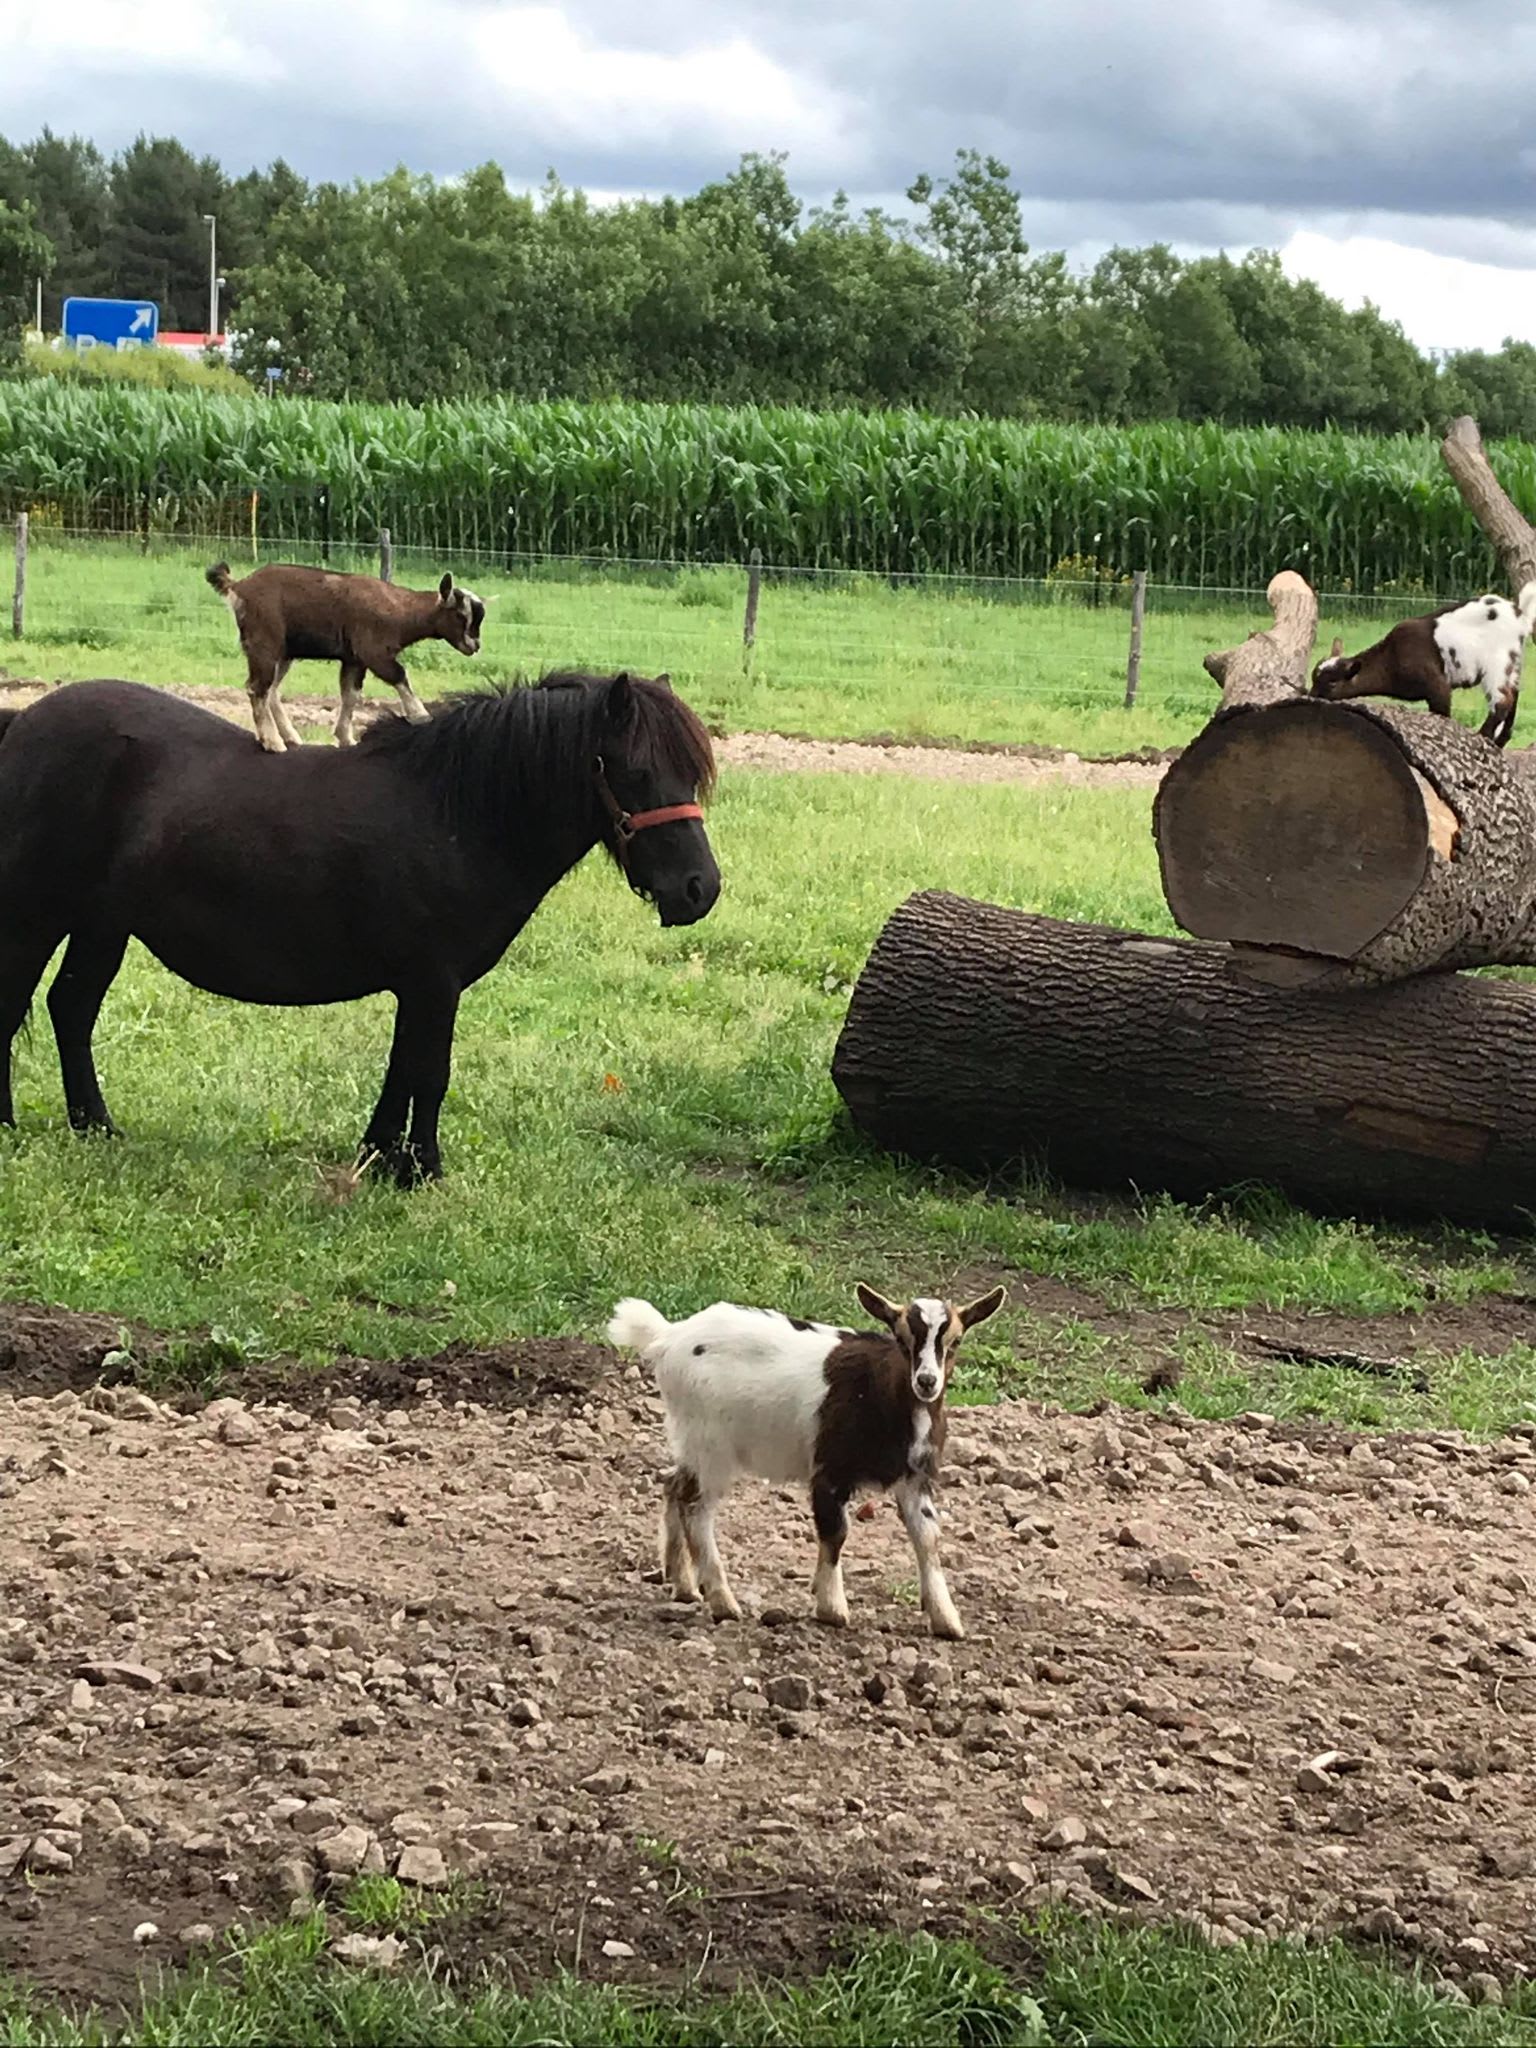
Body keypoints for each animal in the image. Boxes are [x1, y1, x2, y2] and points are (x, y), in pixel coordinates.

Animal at [0, 671, 720, 1187]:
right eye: (636, 772)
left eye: (691, 773)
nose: (700, 890)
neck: (457, 815)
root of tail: (23, 723)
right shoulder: (435, 983)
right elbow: (430, 1073)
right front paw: (423, 1170)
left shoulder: (421, 986)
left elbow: (402, 1070)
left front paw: (379, 1158)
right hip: (35, 915)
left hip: (102, 924)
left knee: (71, 1009)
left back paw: (96, 1127)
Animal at [201, 561, 483, 753]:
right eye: (461, 615)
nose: (475, 645)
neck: (400, 610)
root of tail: (238, 587)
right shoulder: (373, 652)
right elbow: (399, 676)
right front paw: (421, 716)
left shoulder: (354, 659)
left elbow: (351, 694)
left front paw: (345, 737)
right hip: (264, 643)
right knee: (257, 688)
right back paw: (273, 742)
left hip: (283, 653)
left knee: (271, 690)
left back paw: (290, 737)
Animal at [602, 1286, 1011, 1638]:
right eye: (901, 1339)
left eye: (955, 1342)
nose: (926, 1382)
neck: (882, 1394)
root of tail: (669, 1337)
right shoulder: (830, 1471)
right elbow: (835, 1531)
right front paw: (832, 1608)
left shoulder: (915, 1478)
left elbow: (927, 1538)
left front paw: (946, 1620)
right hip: (711, 1446)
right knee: (696, 1507)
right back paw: (723, 1601)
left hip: (690, 1442)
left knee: (673, 1484)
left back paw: (684, 1584)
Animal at [1310, 585, 1536, 753]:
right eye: (1314, 678)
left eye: (1332, 683)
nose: (1311, 695)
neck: (1391, 658)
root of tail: (1520, 616)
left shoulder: (1436, 685)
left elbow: (1442, 712)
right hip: (1513, 662)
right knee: (1514, 694)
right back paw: (1499, 741)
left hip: (1497, 661)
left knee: (1502, 700)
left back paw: (1484, 737)